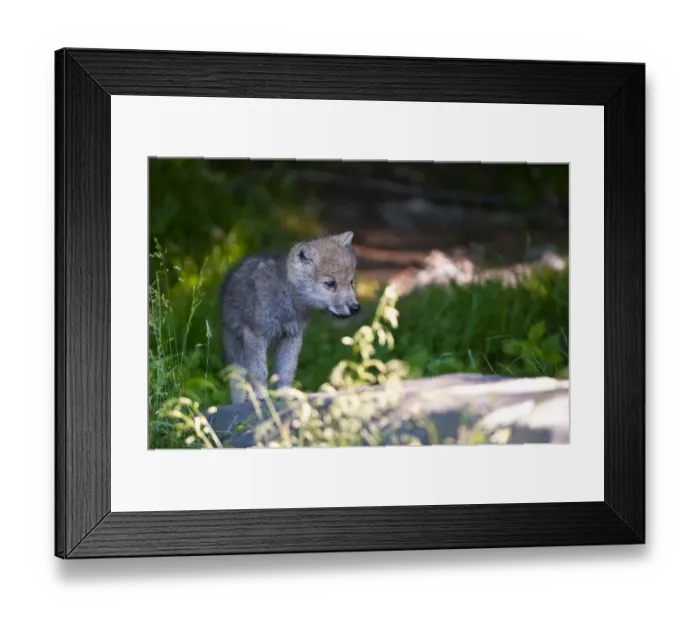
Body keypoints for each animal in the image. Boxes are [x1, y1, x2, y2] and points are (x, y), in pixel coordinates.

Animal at [220, 231, 360, 403]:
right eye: (330, 284)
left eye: (351, 281)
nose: (355, 308)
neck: (287, 301)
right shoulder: (255, 336)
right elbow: (260, 371)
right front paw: (261, 395)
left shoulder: (292, 337)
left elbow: (287, 371)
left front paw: (286, 394)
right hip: (235, 349)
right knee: (238, 384)